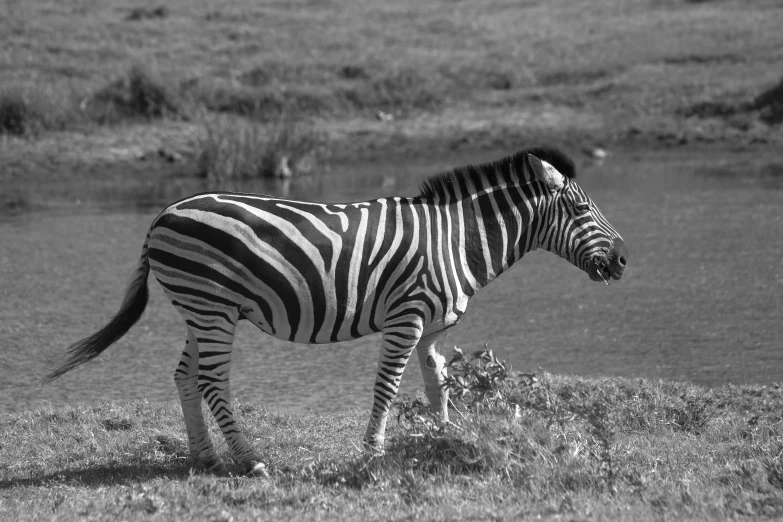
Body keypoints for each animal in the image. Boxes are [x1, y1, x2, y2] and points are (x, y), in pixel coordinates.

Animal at [44, 144, 632, 474]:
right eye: (583, 208)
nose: (626, 259)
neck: (456, 238)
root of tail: (164, 213)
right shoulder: (406, 317)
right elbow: (388, 387)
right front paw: (371, 456)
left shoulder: (433, 328)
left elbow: (437, 383)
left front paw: (449, 441)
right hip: (211, 307)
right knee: (211, 379)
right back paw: (250, 460)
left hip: (203, 308)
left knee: (186, 375)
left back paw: (206, 458)